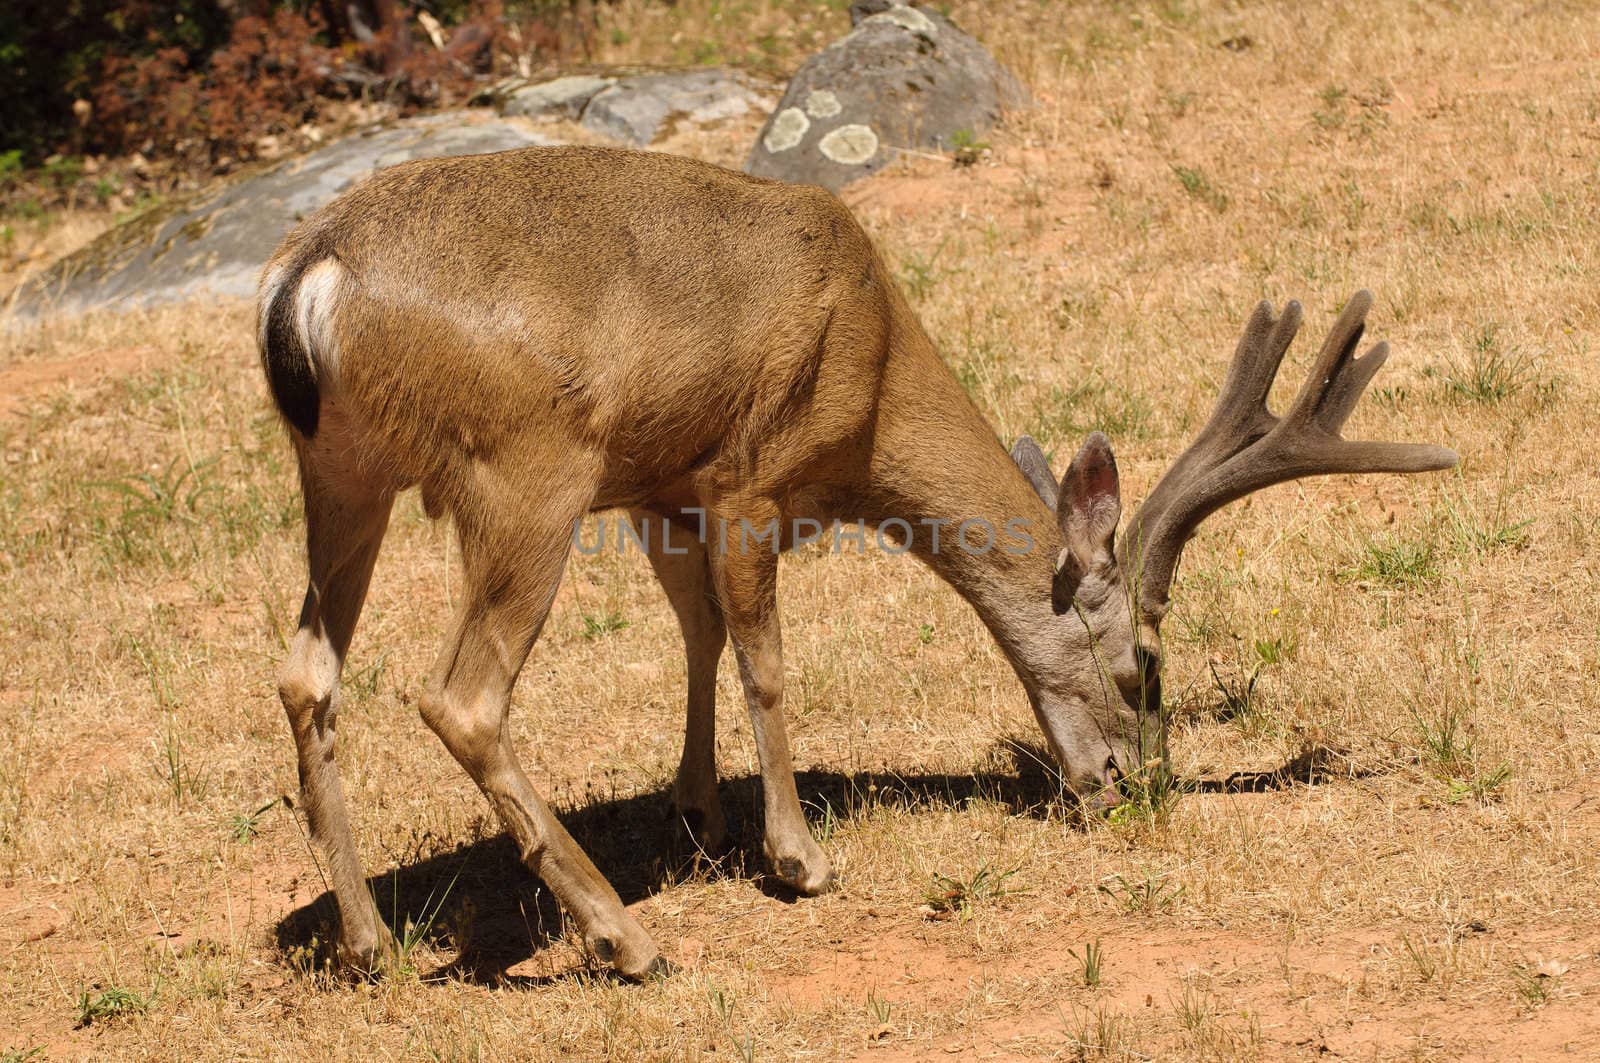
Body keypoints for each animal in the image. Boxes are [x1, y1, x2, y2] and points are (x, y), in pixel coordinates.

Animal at [256, 140, 1459, 979]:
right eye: (1141, 665)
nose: (1134, 785)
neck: (874, 385)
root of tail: (307, 280)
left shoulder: (659, 488)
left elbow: (697, 634)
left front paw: (701, 813)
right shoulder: (749, 472)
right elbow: (765, 663)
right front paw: (796, 857)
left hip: (344, 474)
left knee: (307, 671)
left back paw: (367, 941)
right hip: (526, 467)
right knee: (460, 696)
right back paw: (624, 939)